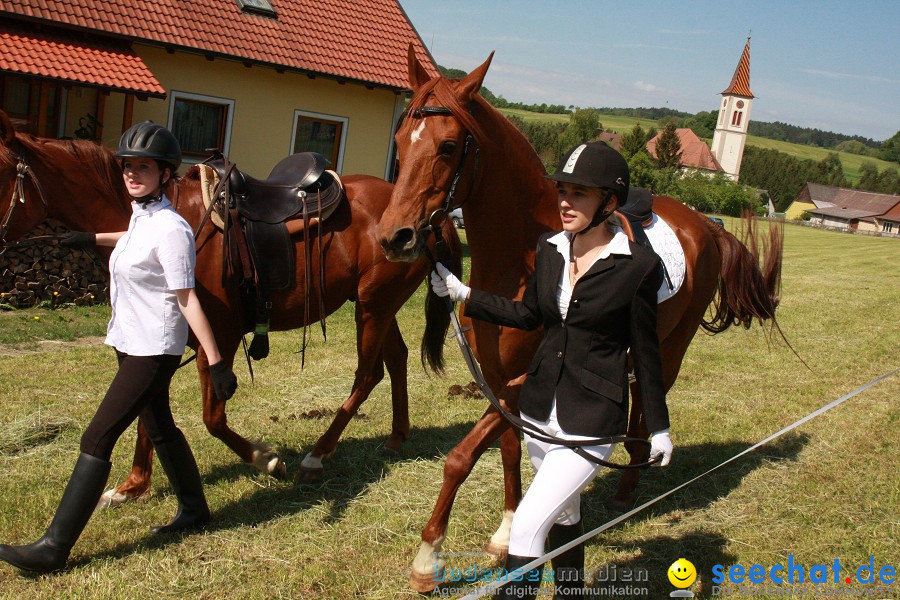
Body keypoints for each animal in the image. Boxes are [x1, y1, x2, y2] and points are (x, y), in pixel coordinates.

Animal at [0, 110, 460, 504]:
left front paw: (267, 460)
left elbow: (212, 419)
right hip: (377, 306)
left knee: (367, 375)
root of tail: (427, 217)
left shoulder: (216, 342)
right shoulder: (164, 344)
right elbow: (148, 415)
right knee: (397, 359)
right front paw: (133, 485)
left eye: (1, 172)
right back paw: (396, 438)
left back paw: (316, 457)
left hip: (372, 308)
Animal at [372, 48, 780, 592]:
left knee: (650, 404)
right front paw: (507, 532)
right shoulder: (502, 384)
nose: (394, 237)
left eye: (449, 146)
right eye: (399, 142)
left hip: (670, 349)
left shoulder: (521, 384)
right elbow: (509, 451)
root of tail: (706, 226)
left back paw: (630, 486)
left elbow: (460, 458)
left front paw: (428, 556)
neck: (520, 259)